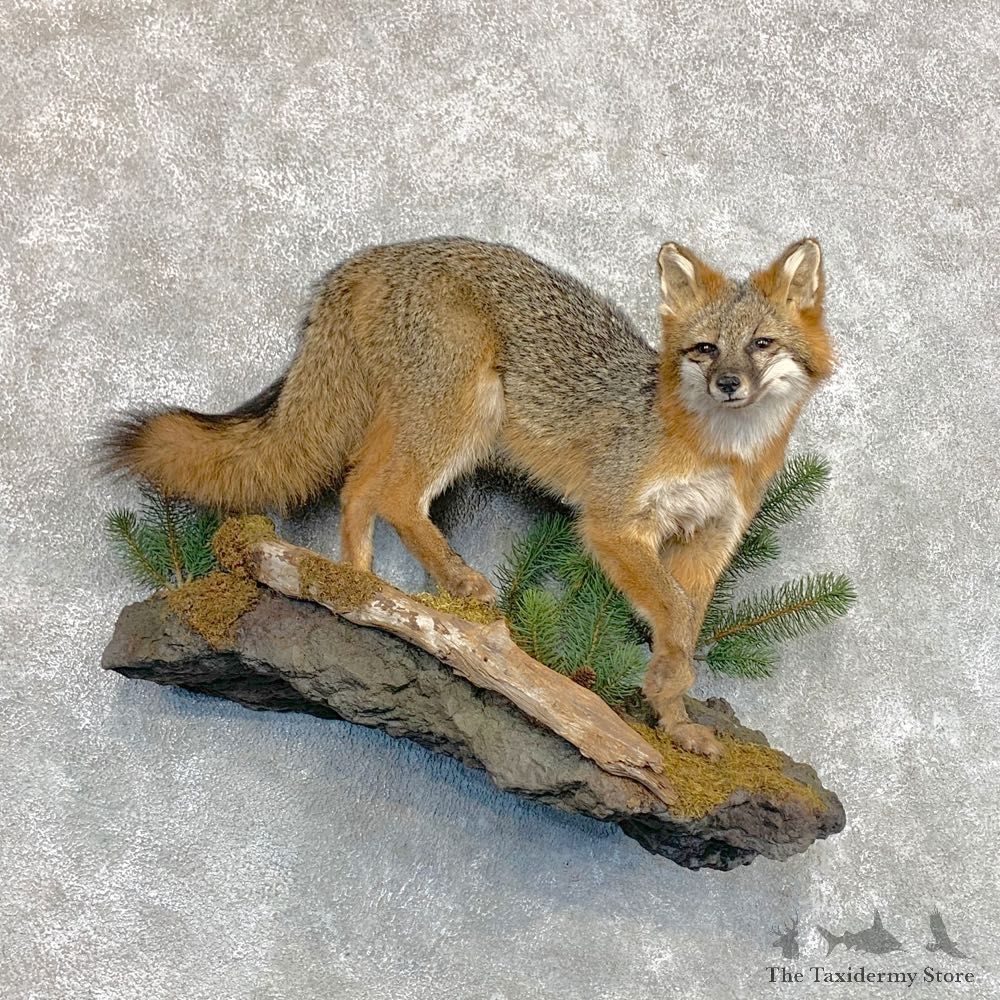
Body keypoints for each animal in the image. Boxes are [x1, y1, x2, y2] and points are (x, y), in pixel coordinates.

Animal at [102, 236, 835, 758]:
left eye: (761, 344)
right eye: (705, 349)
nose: (729, 384)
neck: (717, 450)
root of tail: (376, 255)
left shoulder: (706, 542)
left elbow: (683, 628)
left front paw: (673, 722)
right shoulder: (611, 523)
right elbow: (677, 615)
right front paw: (665, 694)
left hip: (421, 423)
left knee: (360, 487)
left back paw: (355, 589)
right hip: (466, 417)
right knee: (395, 496)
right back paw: (450, 583)